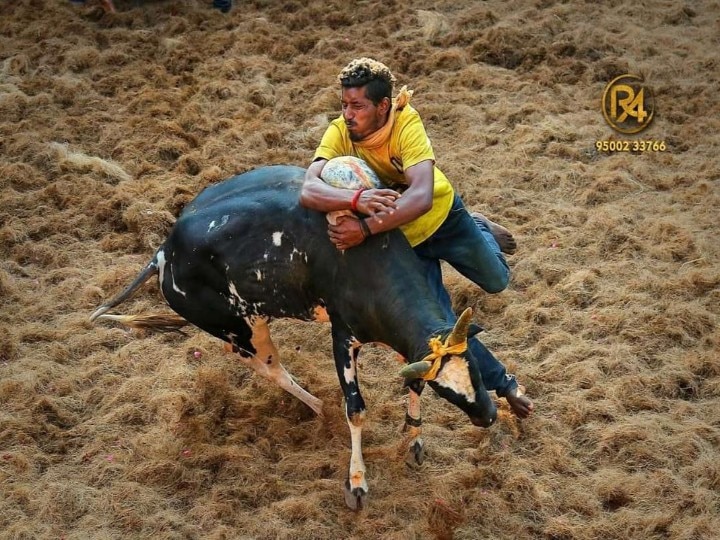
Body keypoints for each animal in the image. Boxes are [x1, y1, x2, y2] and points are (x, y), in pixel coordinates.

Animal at [88, 165, 496, 510]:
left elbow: (413, 382)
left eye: (475, 369)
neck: (364, 260)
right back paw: (317, 406)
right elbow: (356, 409)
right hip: (244, 328)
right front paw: (357, 481)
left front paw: (413, 439)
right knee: (270, 369)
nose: (489, 416)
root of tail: (163, 252)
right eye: (447, 391)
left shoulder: (407, 345)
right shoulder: (342, 337)